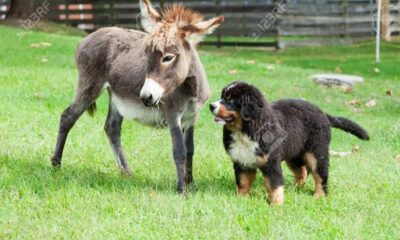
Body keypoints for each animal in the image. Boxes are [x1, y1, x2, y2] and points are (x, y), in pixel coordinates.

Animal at [209, 81, 368, 205]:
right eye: (222, 96)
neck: (246, 130)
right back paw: (294, 188)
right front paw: (240, 199)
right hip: (294, 154)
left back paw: (319, 196)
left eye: (230, 100)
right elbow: (242, 182)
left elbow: (274, 186)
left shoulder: (271, 162)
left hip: (316, 152)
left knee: (320, 175)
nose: (211, 106)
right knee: (303, 171)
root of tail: (323, 113)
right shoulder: (242, 160)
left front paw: (276, 205)